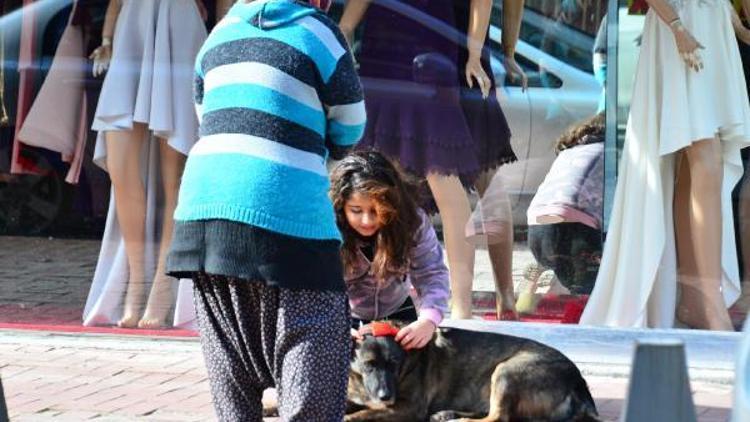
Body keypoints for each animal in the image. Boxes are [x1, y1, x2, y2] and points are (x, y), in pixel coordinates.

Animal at [346, 322, 600, 420]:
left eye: (395, 363)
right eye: (369, 365)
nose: (385, 396)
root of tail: (578, 380)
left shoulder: (408, 408)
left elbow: (359, 415)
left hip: (505, 370)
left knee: (498, 418)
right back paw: (447, 414)